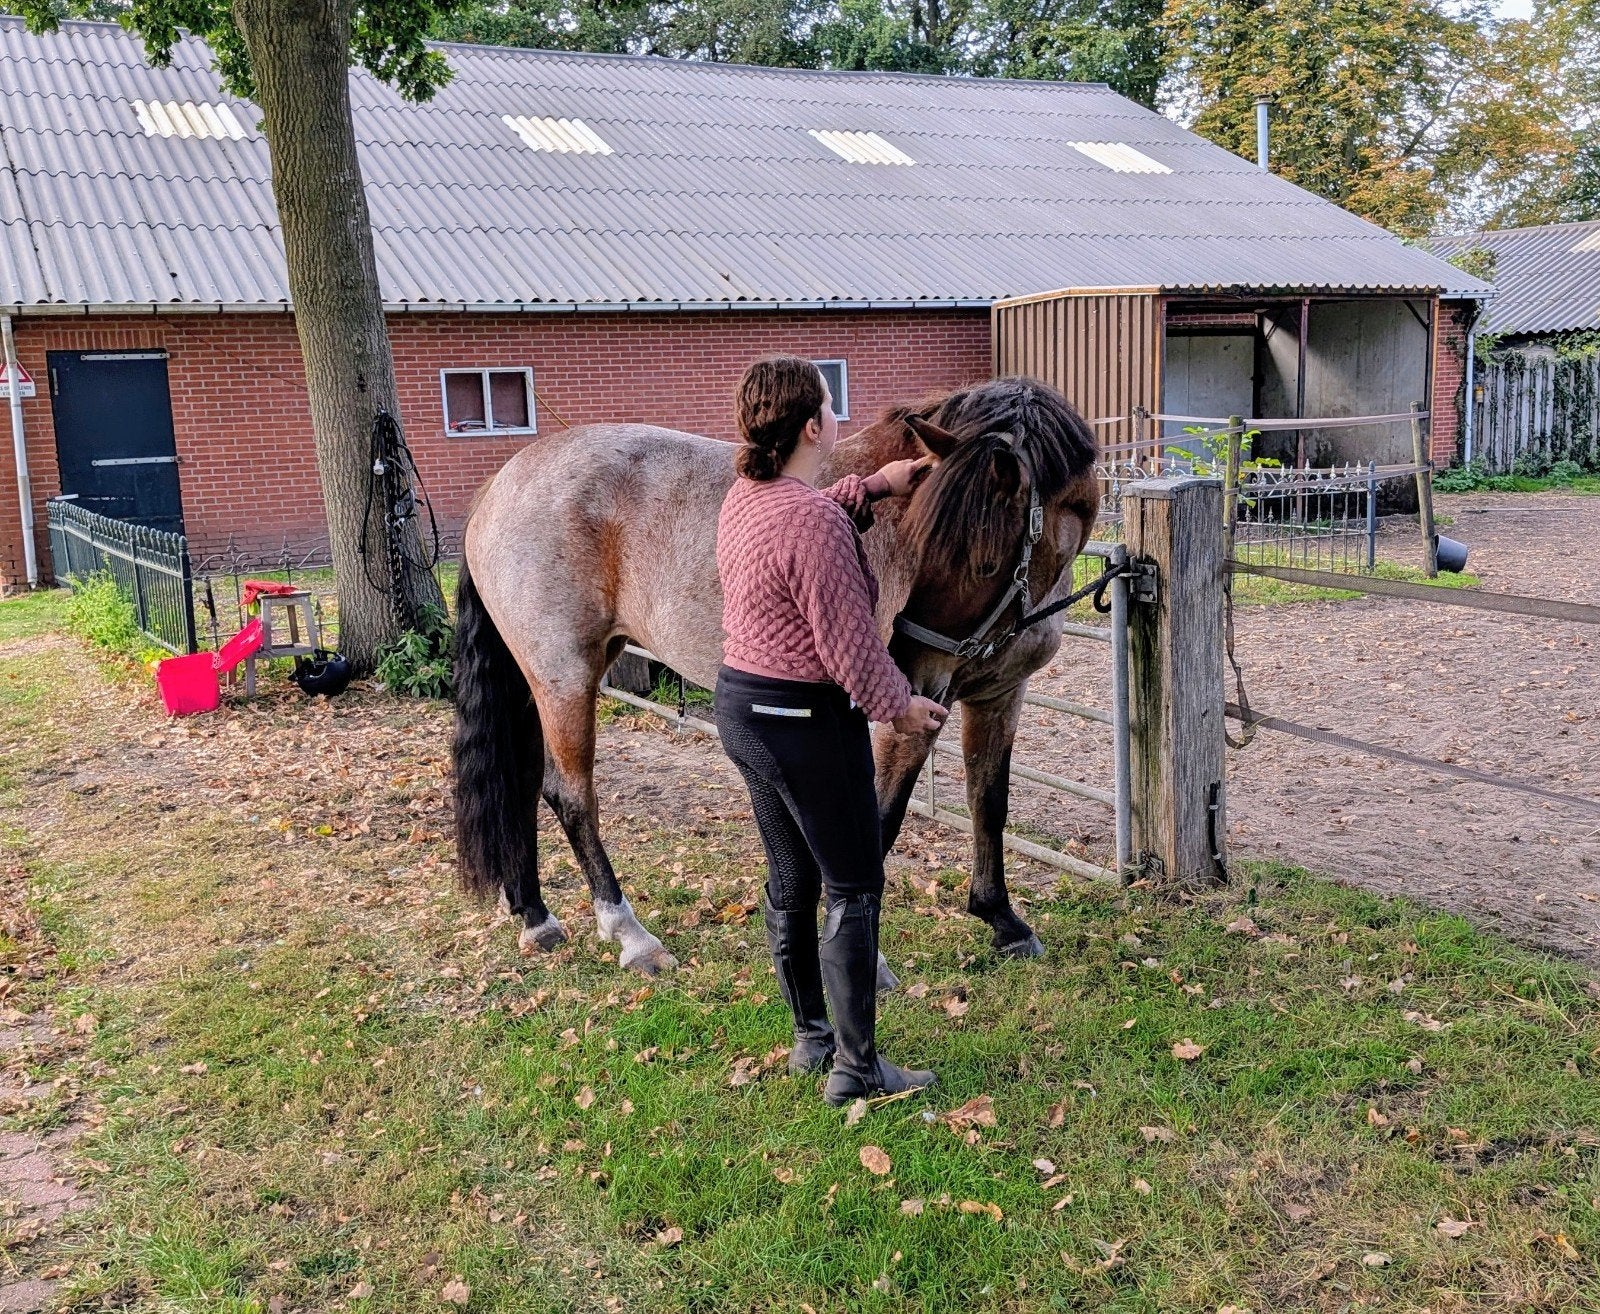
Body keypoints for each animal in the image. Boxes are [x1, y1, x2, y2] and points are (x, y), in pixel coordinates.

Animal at [452, 376, 1101, 977]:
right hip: (564, 674)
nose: (902, 667)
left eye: (984, 564)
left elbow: (988, 802)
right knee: (571, 795)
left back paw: (536, 917)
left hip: (536, 678)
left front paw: (1002, 919)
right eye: (923, 548)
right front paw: (868, 956)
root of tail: (495, 488)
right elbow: (881, 821)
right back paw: (630, 935)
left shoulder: (999, 695)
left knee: (524, 781)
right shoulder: (911, 720)